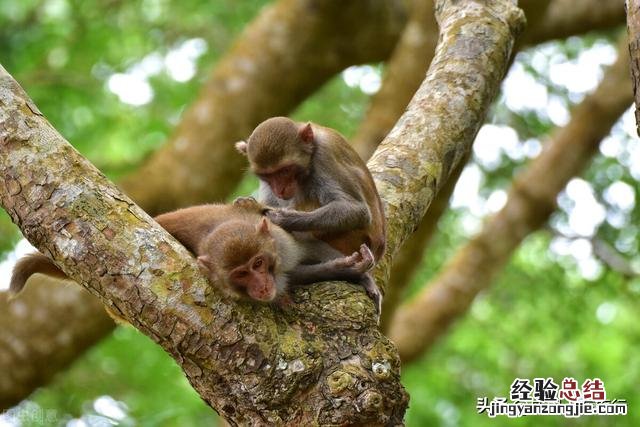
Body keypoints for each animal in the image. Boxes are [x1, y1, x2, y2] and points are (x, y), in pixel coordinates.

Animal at [8, 202, 376, 306]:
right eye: (241, 274)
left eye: (258, 263)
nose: (260, 286)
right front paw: (347, 269)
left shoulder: (281, 242)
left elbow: (303, 247)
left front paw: (356, 272)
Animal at [235, 116, 384, 314]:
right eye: (268, 175)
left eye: (285, 170)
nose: (280, 189)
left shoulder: (324, 156)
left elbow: (357, 210)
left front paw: (282, 218)